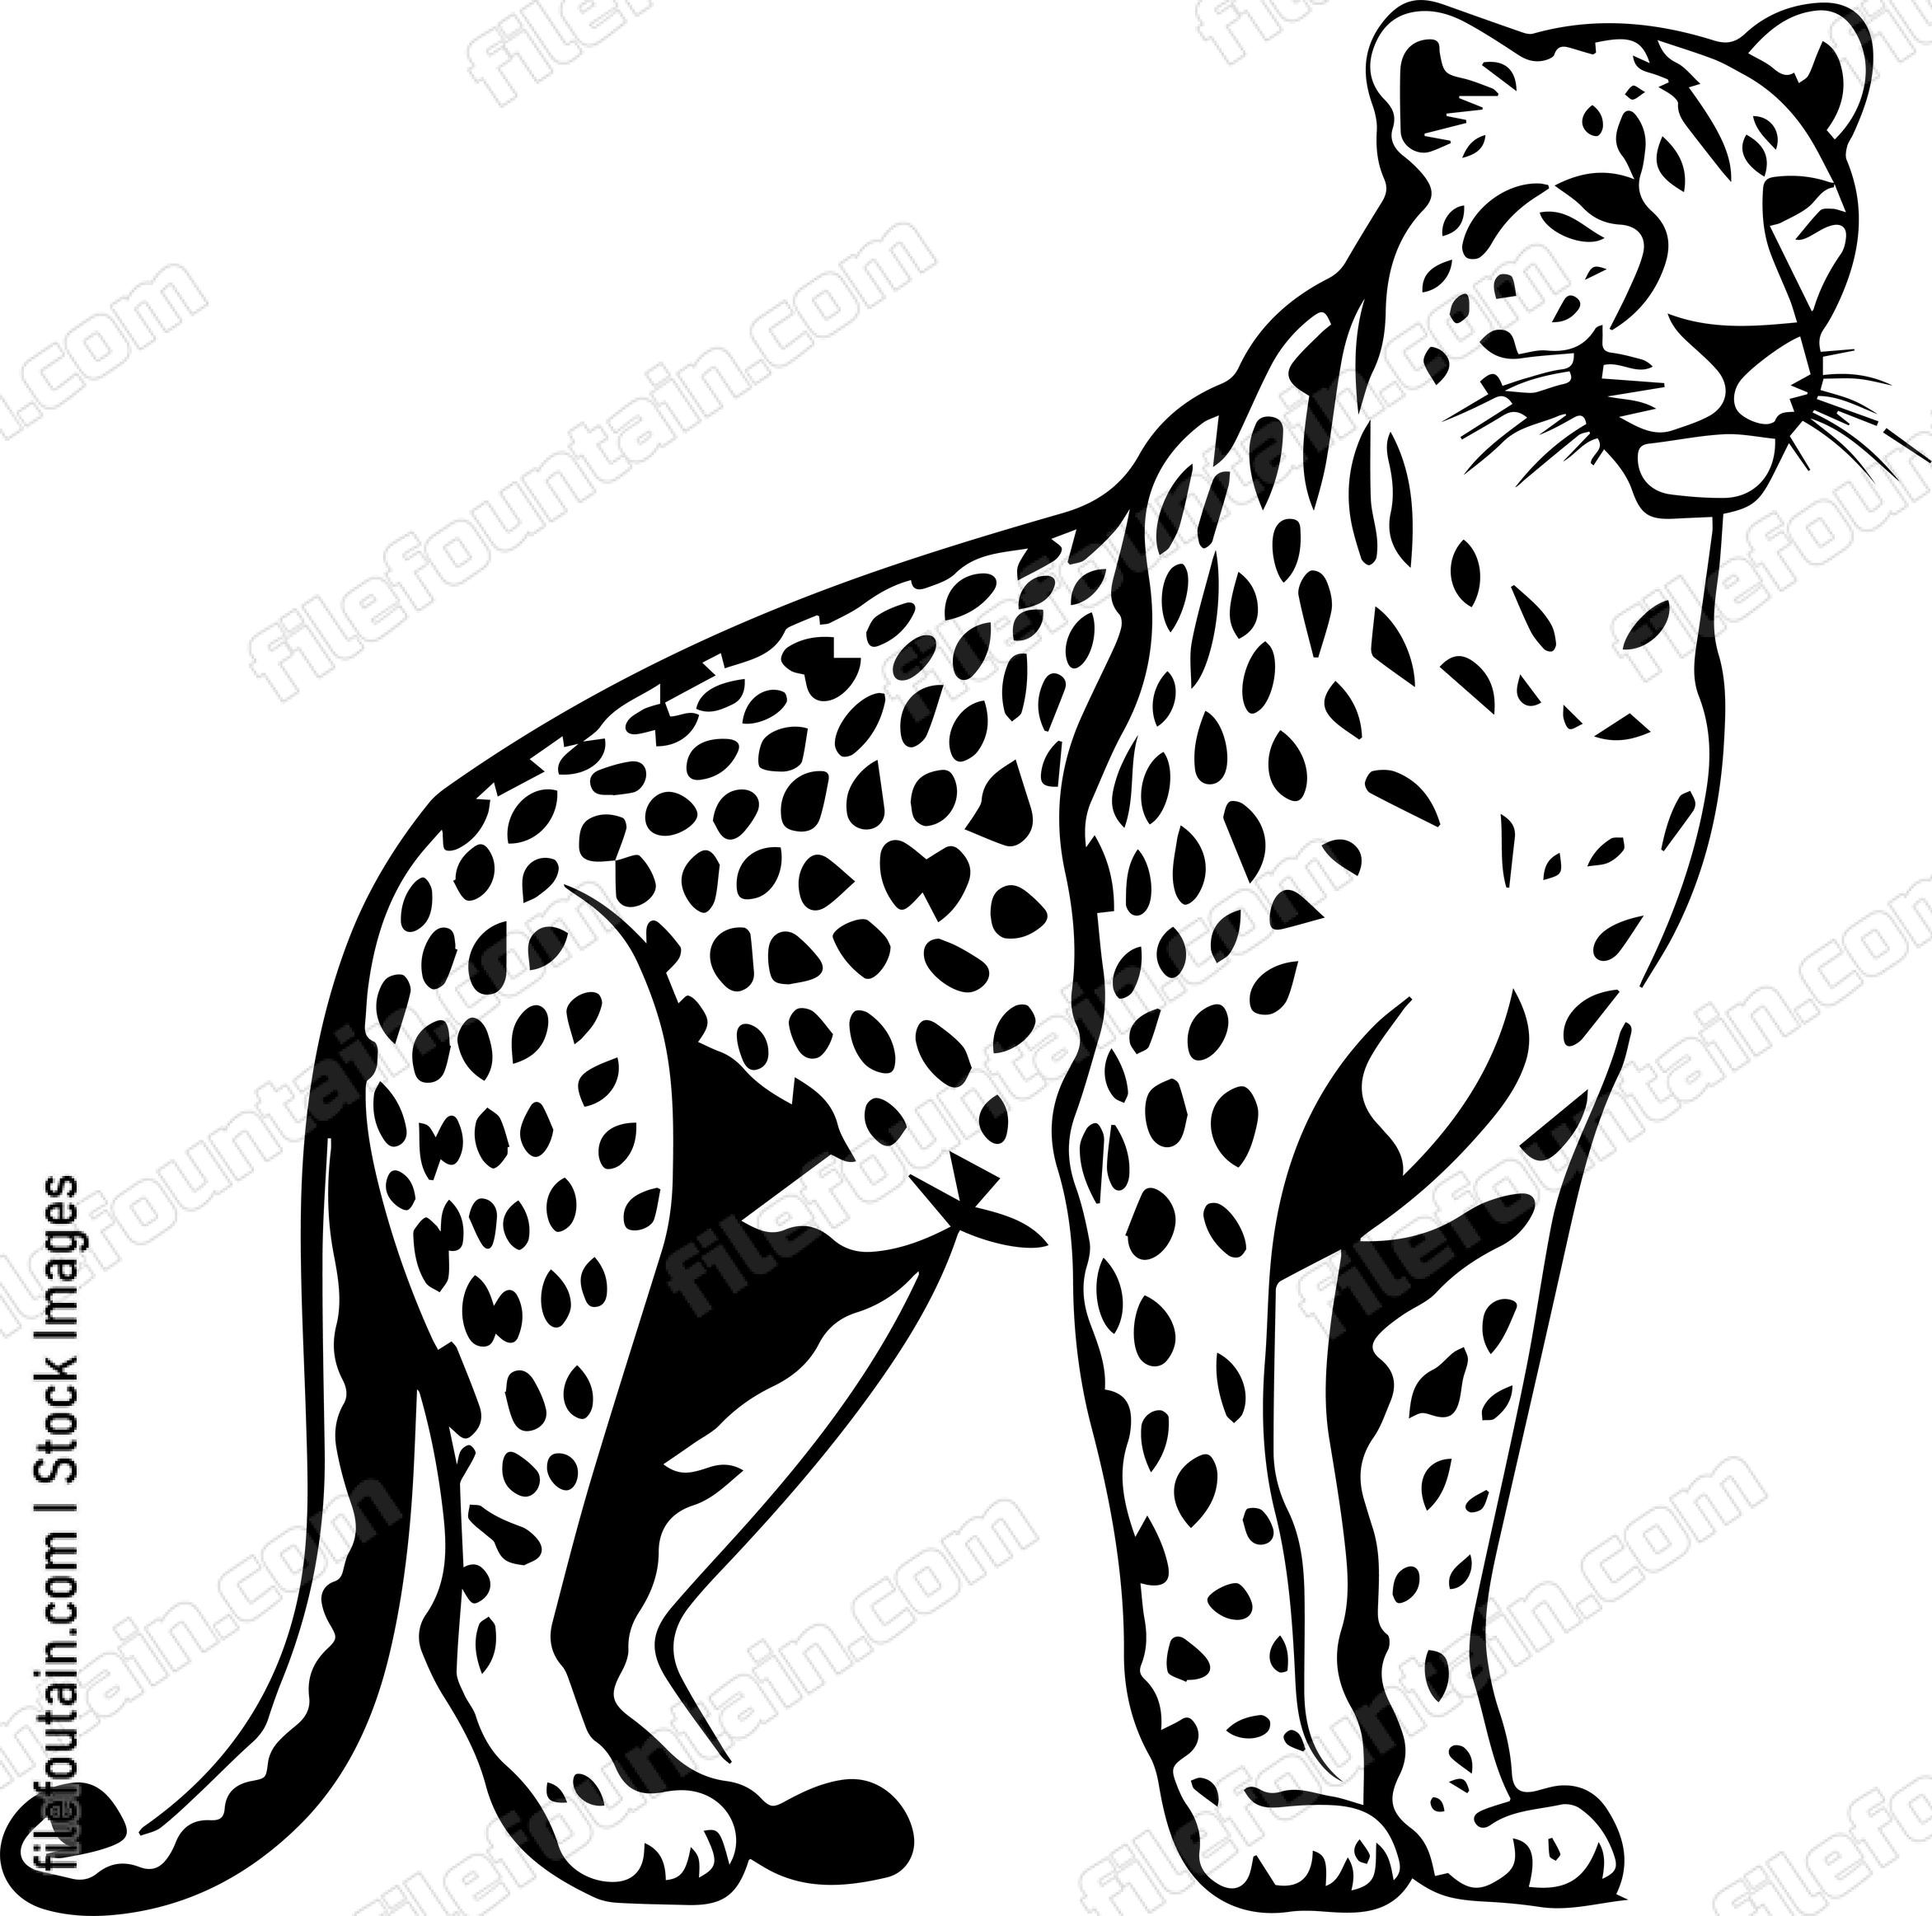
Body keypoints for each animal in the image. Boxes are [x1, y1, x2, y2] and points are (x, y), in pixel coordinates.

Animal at [5, 6, 1887, 1910]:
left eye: (1796, 203)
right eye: (1596, 199)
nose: (1744, 345)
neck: (1561, 604)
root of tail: (403, 869)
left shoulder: (1497, 1171)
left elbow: (1434, 1522)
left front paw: (1466, 1814)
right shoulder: (1175, 1137)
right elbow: (1220, 1502)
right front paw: (1274, 1811)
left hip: (784, 1293)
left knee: (620, 1571)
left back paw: (743, 1804)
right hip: (559, 1225)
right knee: (494, 1585)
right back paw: (612, 1823)